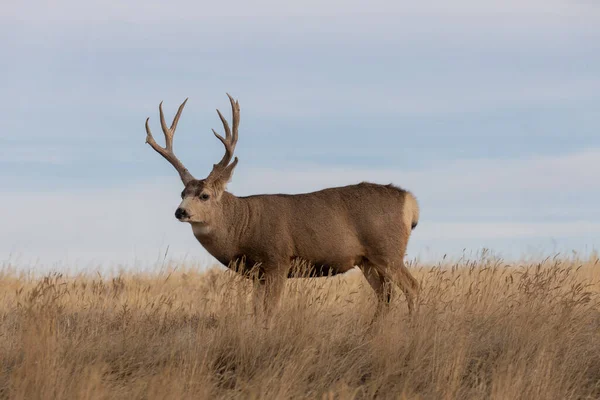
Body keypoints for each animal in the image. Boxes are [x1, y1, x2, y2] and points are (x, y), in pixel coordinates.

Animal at [144, 94, 420, 322]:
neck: (243, 225)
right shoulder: (257, 274)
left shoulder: (277, 260)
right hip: (367, 260)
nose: (180, 211)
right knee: (385, 295)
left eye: (204, 195)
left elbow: (270, 311)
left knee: (412, 288)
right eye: (182, 193)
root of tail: (410, 201)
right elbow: (256, 311)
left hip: (387, 250)